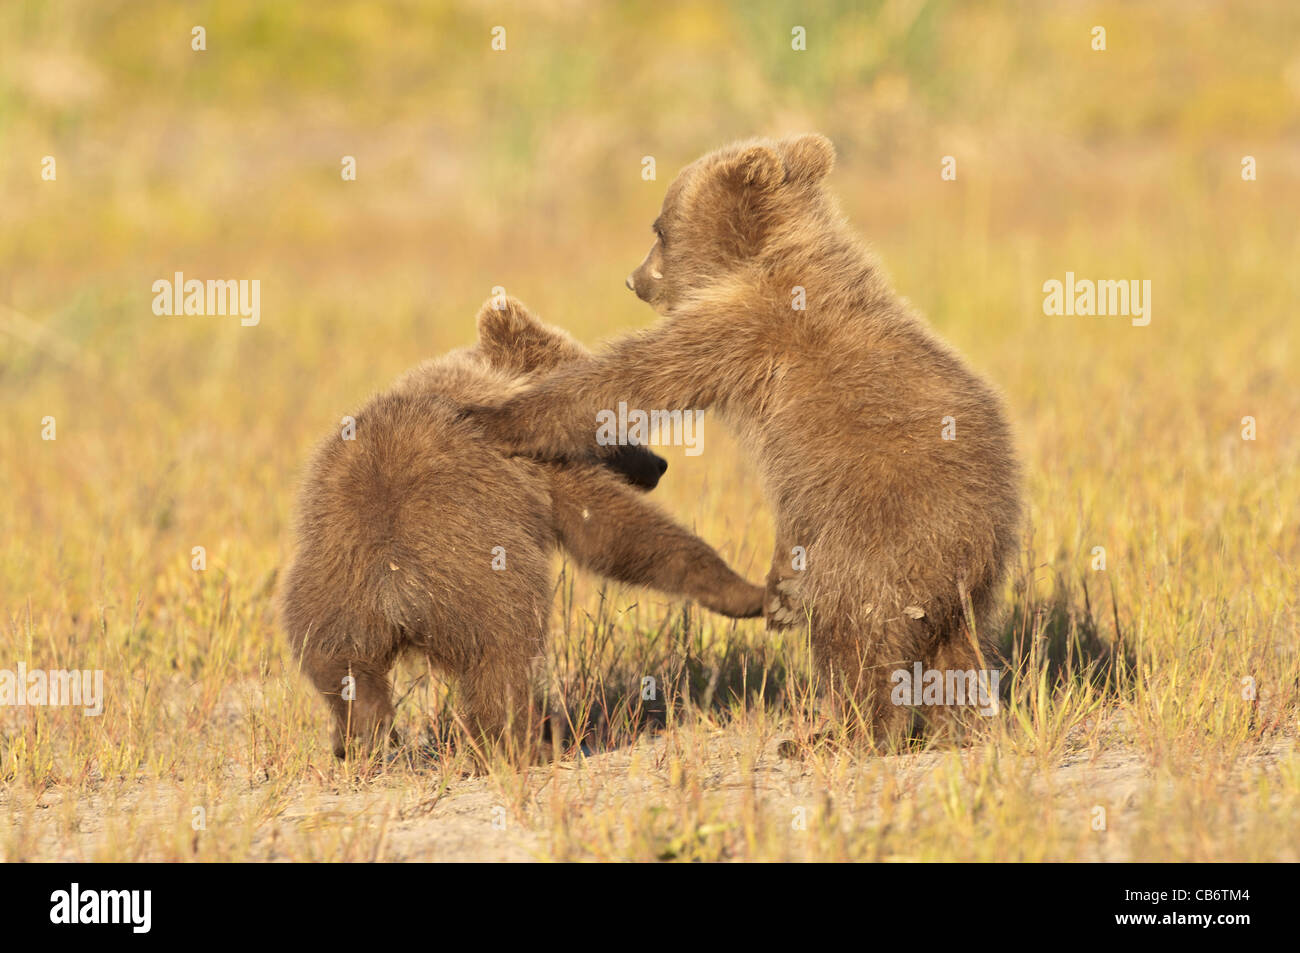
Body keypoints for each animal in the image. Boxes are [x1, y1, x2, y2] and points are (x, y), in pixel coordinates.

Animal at [279, 295, 765, 761]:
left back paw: (357, 736)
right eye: (609, 423)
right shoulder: (541, 465)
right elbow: (608, 527)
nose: (657, 464)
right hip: (478, 578)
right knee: (503, 658)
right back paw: (530, 743)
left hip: (328, 590)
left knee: (341, 668)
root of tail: (393, 589)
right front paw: (745, 592)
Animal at [462, 134, 1023, 745]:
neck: (758, 261)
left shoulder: (739, 329)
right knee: (951, 643)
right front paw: (778, 591)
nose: (634, 279)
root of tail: (983, 532)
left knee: (856, 622)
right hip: (960, 574)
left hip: (886, 525)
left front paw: (491, 415)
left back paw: (843, 733)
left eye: (659, 227)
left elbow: (630, 380)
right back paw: (962, 723)